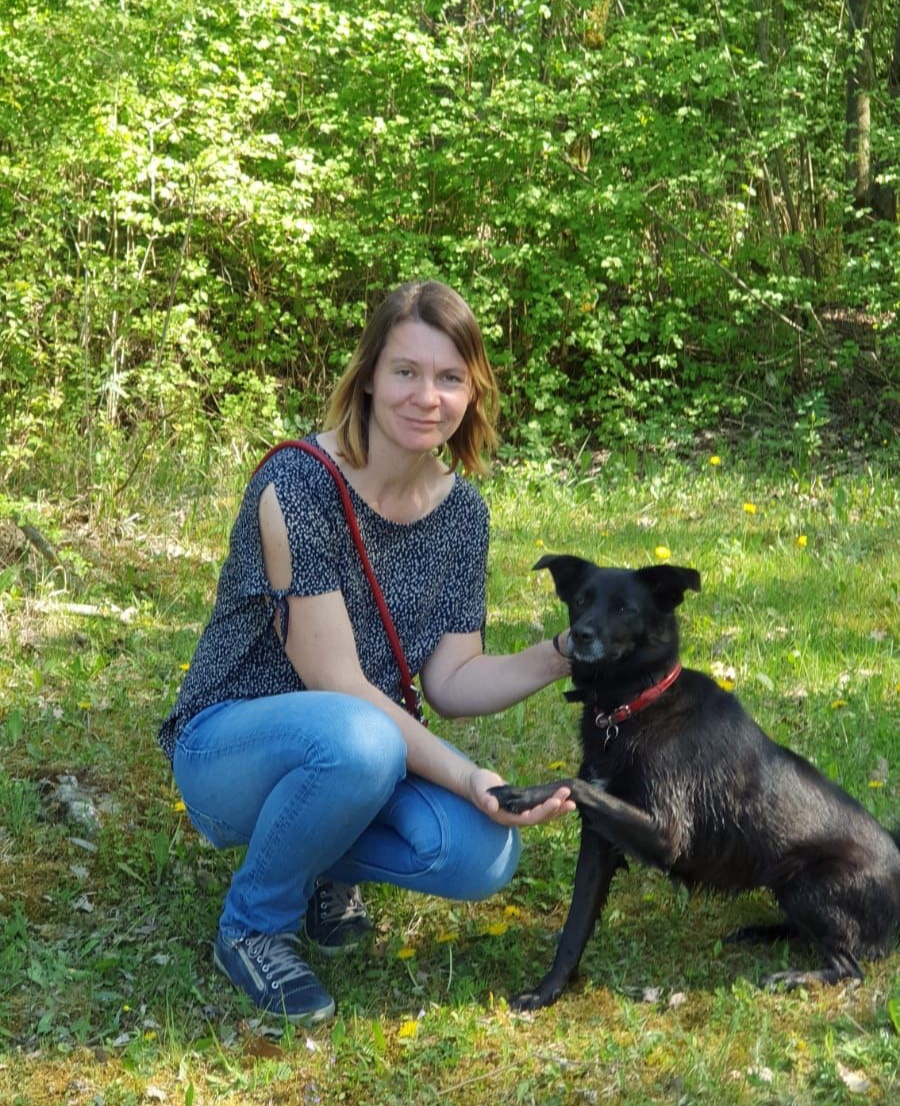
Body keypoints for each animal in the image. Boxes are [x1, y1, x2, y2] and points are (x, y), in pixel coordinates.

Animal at [493, 557, 900, 1008]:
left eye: (623, 608)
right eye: (580, 600)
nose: (580, 634)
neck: (633, 705)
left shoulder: (667, 832)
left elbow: (576, 787)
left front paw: (525, 794)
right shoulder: (599, 843)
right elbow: (575, 926)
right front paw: (547, 991)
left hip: (807, 885)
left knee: (850, 967)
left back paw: (792, 976)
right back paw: (763, 931)